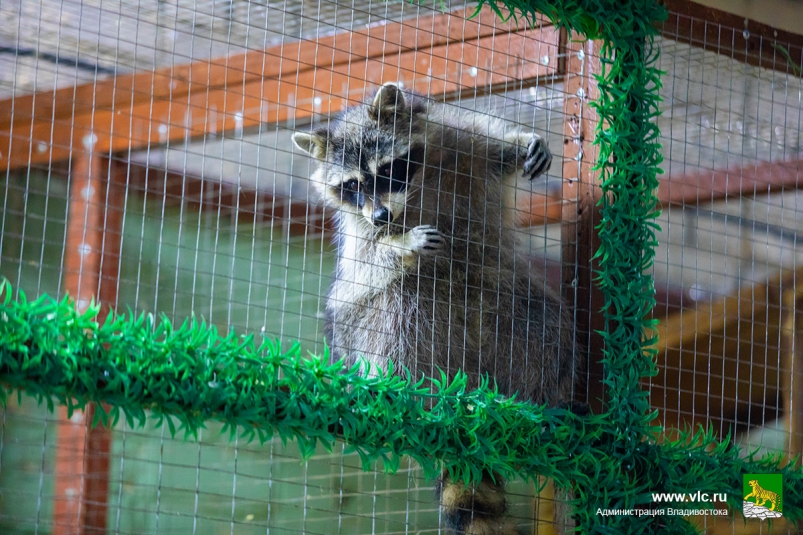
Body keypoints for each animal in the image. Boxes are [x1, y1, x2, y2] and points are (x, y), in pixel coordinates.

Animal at [292, 84, 580, 535]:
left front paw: (521, 144)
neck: (416, 185)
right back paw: (404, 392)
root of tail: (465, 372)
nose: (382, 215)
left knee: (545, 321)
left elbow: (491, 149)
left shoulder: (457, 142)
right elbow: (366, 264)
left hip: (505, 300)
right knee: (394, 307)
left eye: (387, 169)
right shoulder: (359, 227)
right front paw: (399, 243)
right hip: (365, 339)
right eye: (351, 185)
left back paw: (538, 404)